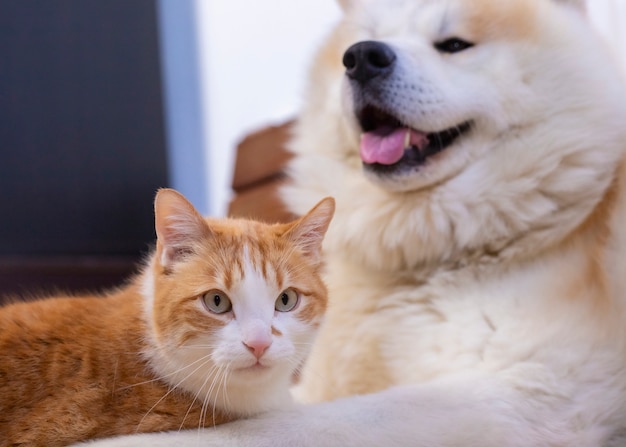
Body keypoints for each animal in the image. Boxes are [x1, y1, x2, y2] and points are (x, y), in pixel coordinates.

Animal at [74, 0, 624, 444]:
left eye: (453, 44)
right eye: (363, 40)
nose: (362, 57)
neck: (416, 260)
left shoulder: (531, 388)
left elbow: (276, 428)